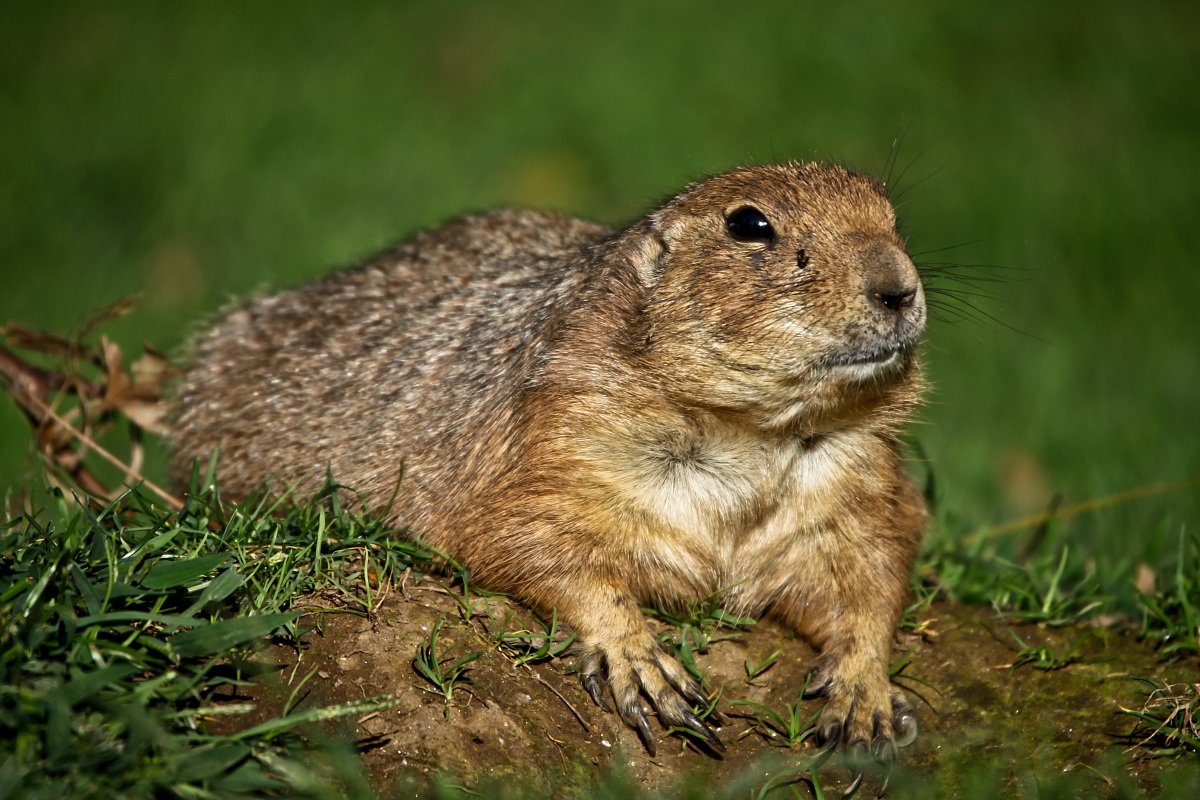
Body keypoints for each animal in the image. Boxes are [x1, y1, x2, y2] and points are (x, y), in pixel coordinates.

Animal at [171, 161, 928, 762]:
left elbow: (874, 565)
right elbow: (529, 536)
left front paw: (865, 694)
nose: (898, 287)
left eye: (892, 214)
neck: (760, 430)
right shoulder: (559, 440)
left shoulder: (860, 480)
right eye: (750, 224)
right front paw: (638, 659)